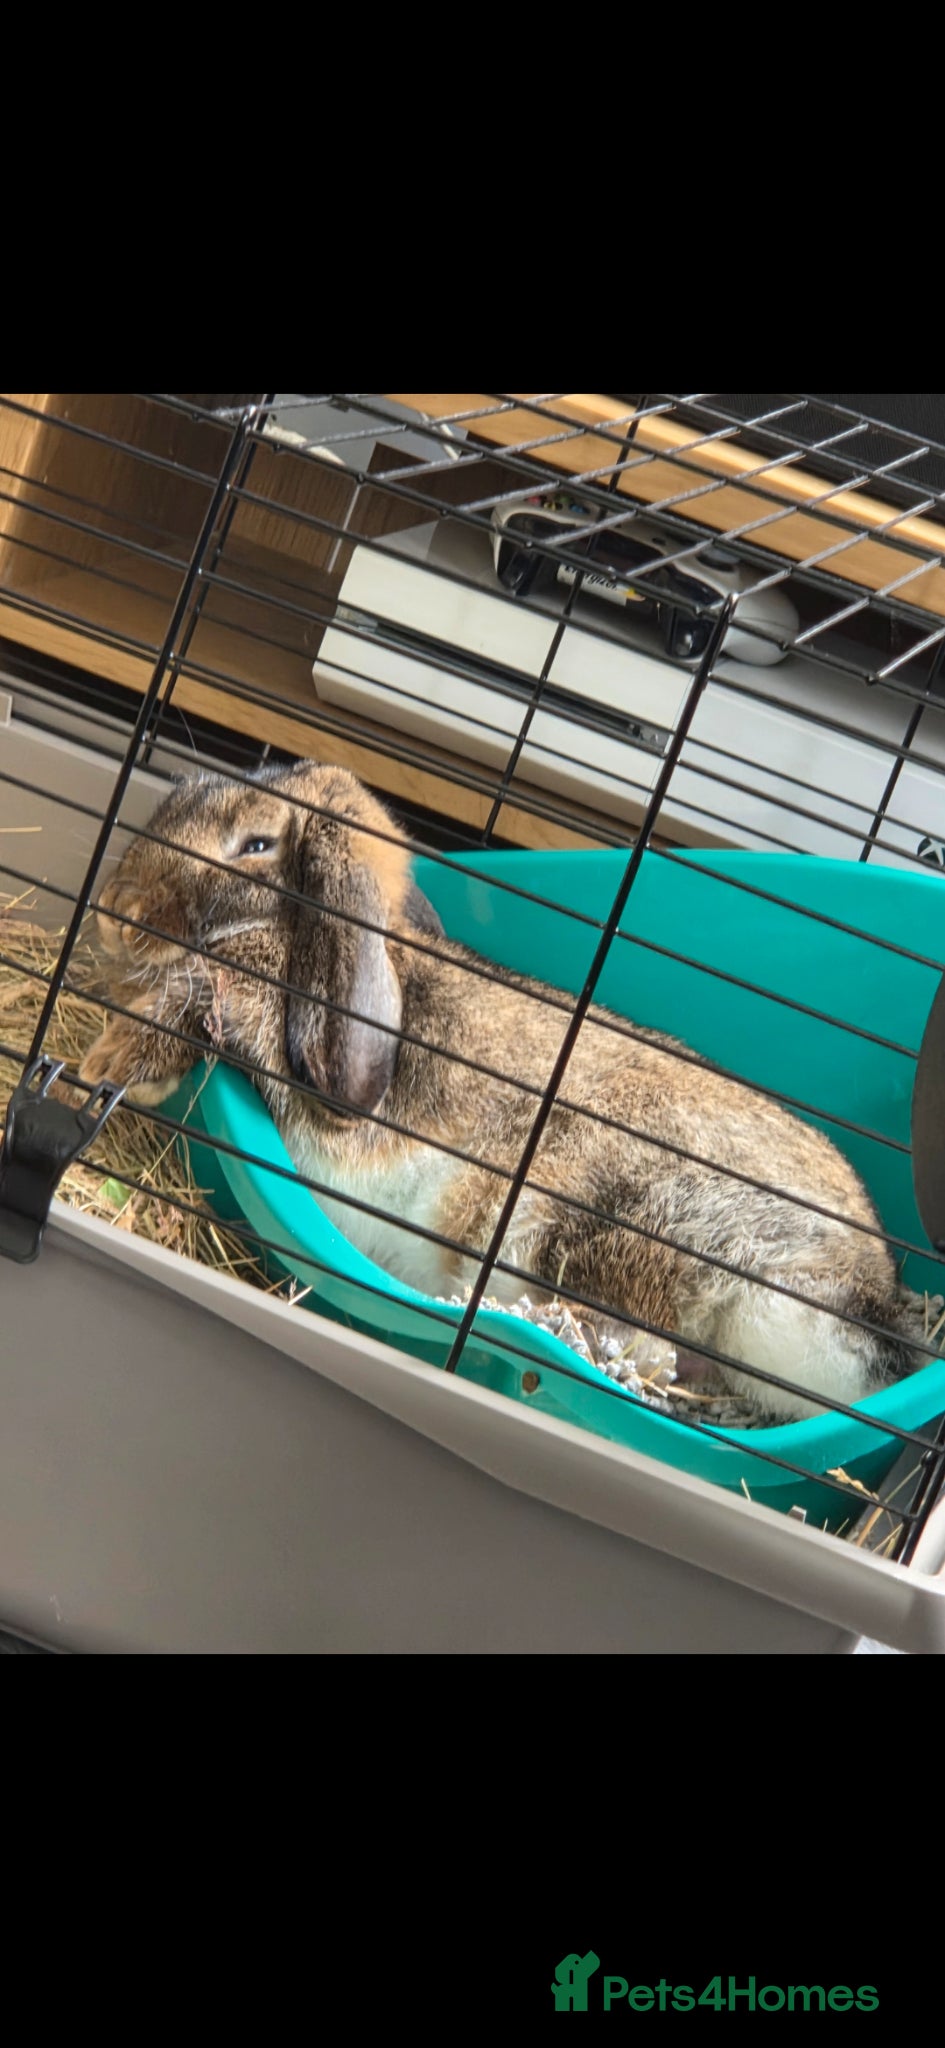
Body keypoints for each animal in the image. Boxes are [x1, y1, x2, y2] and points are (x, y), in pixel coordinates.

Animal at [78, 758, 934, 1423]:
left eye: (256, 844)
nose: (117, 914)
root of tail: (861, 1294)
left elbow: (204, 989)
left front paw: (110, 1064)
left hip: (591, 1219)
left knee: (624, 1341)